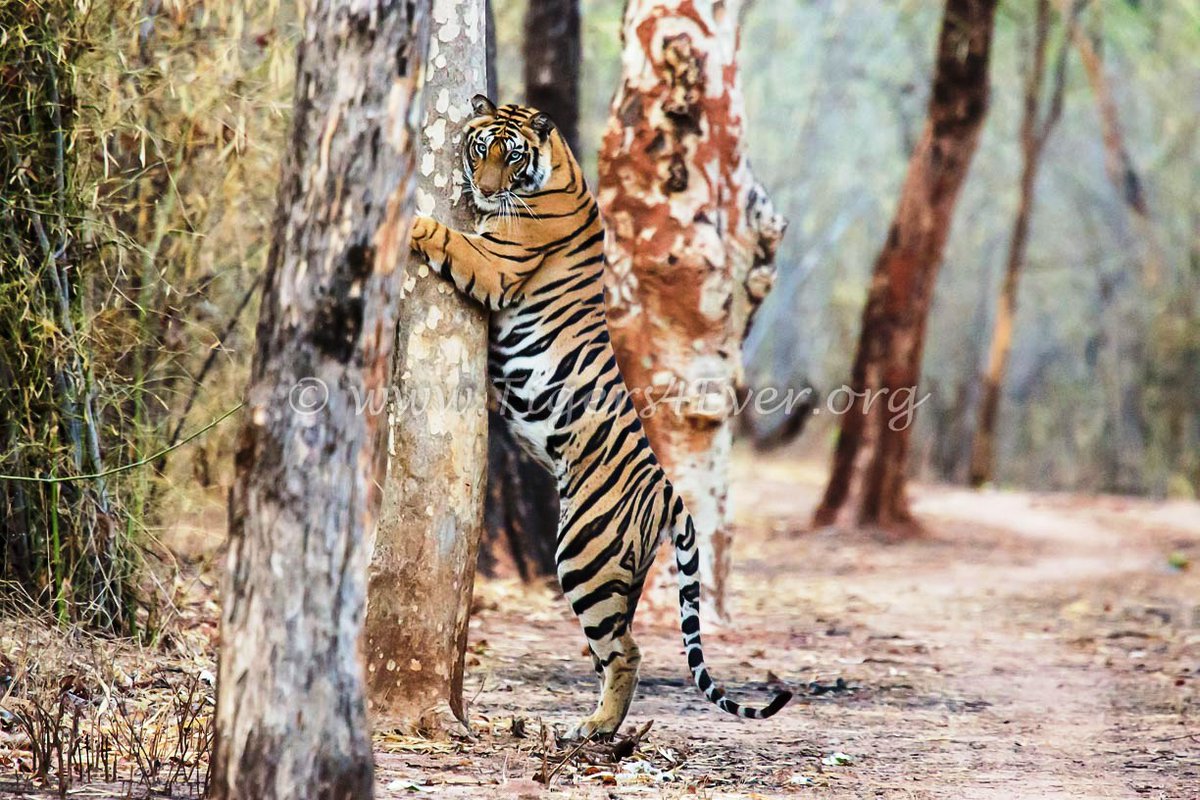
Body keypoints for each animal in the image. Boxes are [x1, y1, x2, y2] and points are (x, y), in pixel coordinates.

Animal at [407, 95, 792, 740]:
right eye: (479, 148)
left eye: (510, 157)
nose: (485, 189)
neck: (558, 167)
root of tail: (671, 492)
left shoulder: (496, 264)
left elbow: (447, 237)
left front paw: (407, 222)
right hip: (621, 576)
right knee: (617, 647)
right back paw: (595, 725)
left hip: (584, 555)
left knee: (627, 652)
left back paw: (594, 730)